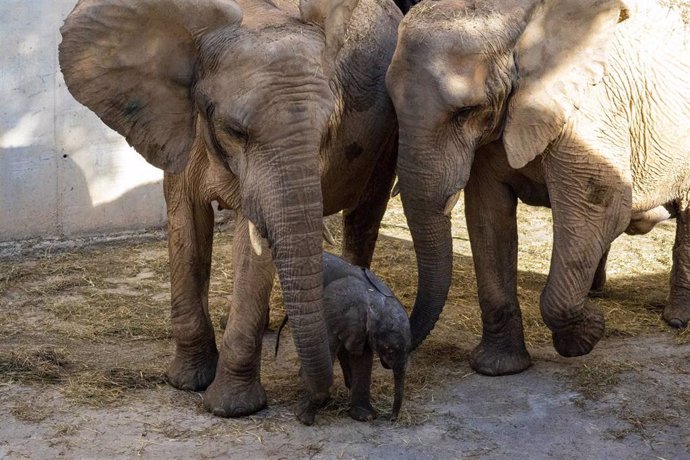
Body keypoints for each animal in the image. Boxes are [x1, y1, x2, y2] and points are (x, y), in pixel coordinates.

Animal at [276, 252, 412, 424]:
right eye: (389, 350)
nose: (391, 418)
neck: (372, 299)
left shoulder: (362, 330)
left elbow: (362, 359)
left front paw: (364, 417)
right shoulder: (333, 314)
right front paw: (303, 417)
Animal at [384, 0, 688, 376]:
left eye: (466, 111)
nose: (389, 354)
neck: (518, 21)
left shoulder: (590, 109)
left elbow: (601, 206)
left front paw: (588, 333)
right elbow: (487, 217)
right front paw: (498, 369)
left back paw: (676, 319)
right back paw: (596, 293)